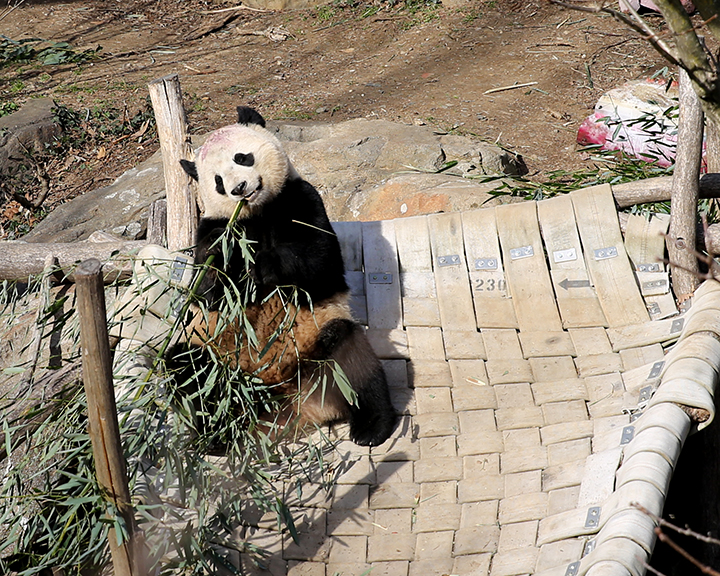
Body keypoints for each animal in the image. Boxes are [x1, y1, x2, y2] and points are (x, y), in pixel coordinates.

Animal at [177, 106, 396, 447]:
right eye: (217, 181)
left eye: (242, 157)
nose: (239, 189)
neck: (256, 212)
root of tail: (293, 408)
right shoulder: (212, 225)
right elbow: (208, 293)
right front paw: (222, 250)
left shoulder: (301, 198)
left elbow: (321, 260)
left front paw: (263, 265)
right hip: (215, 353)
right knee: (189, 370)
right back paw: (219, 434)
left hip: (316, 348)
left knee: (352, 360)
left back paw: (372, 427)